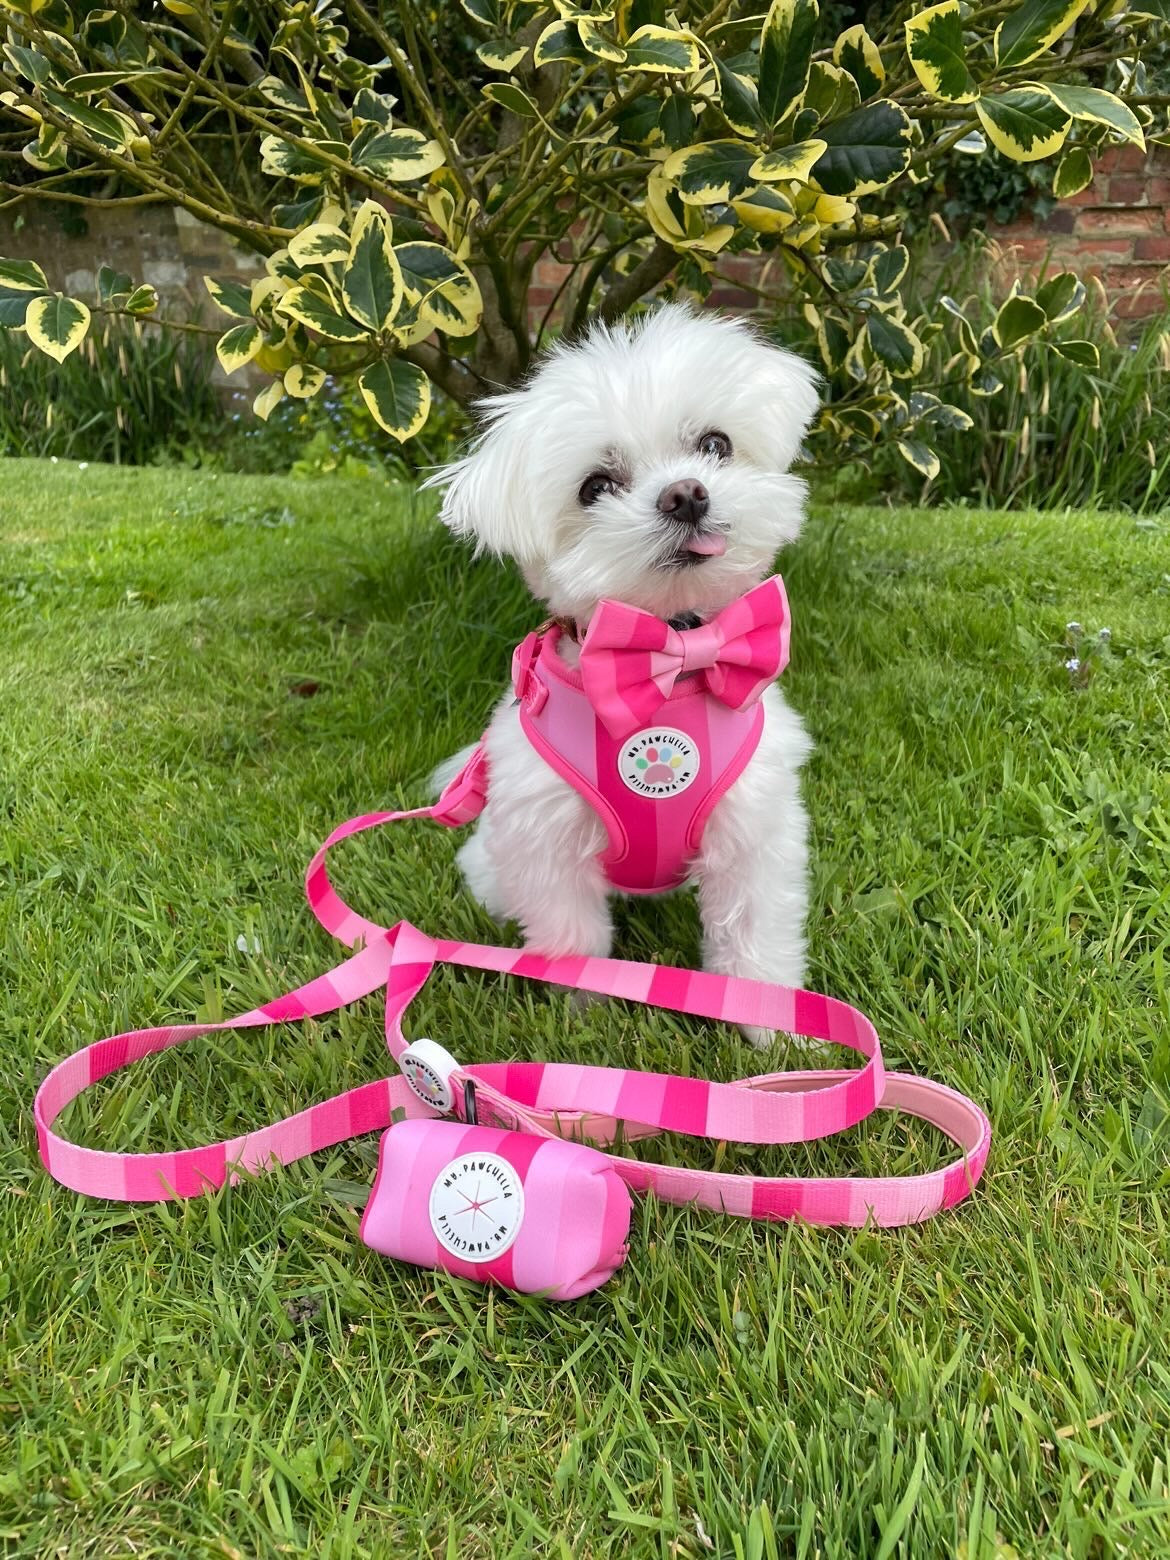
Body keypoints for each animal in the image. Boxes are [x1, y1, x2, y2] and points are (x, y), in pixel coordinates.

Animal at [428, 304, 819, 1042]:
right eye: (595, 487)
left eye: (716, 444)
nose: (686, 494)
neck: (670, 660)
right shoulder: (549, 843)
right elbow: (574, 937)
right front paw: (586, 1015)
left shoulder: (753, 831)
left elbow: (753, 929)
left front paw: (771, 1026)